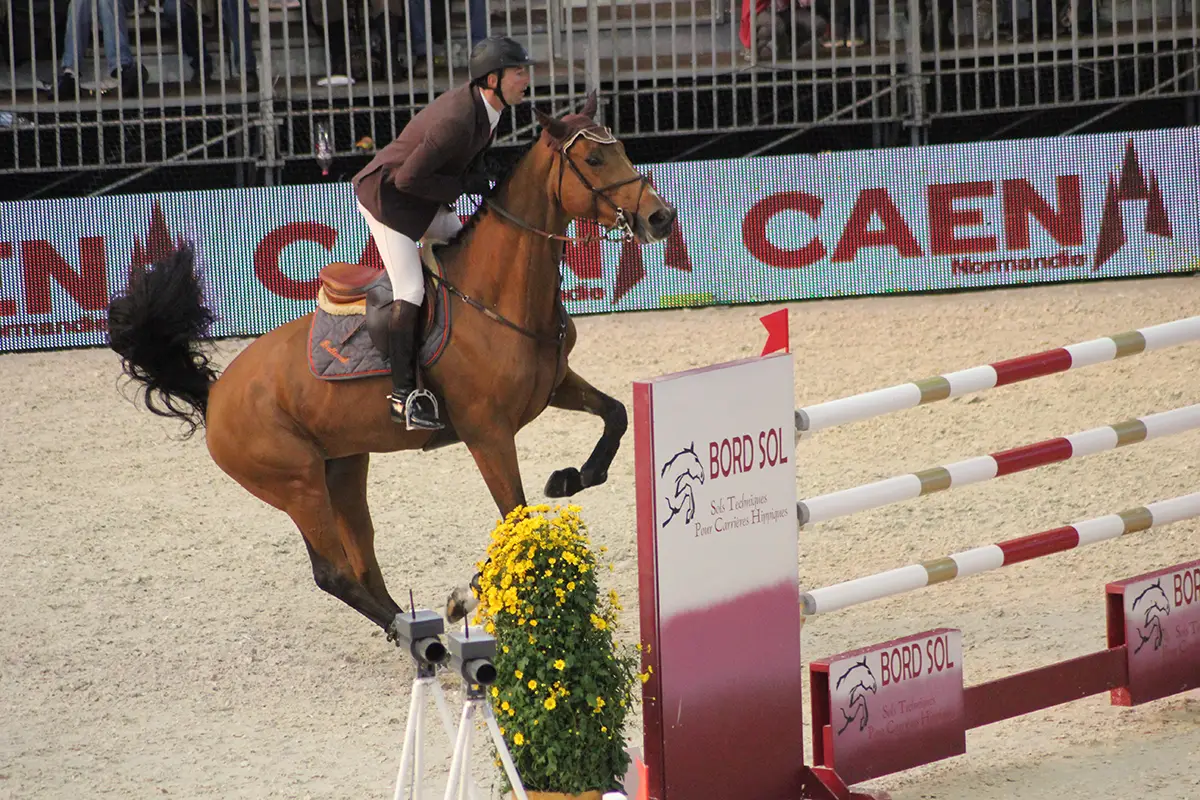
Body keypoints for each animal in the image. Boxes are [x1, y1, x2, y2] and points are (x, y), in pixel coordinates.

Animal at [106, 91, 678, 645]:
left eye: (622, 148)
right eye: (594, 159)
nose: (661, 218)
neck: (499, 298)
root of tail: (218, 393)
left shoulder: (555, 385)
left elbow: (616, 415)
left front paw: (569, 478)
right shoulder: (488, 434)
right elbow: (513, 517)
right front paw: (464, 596)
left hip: (343, 467)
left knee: (363, 560)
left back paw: (410, 629)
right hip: (297, 485)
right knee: (334, 572)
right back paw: (423, 640)